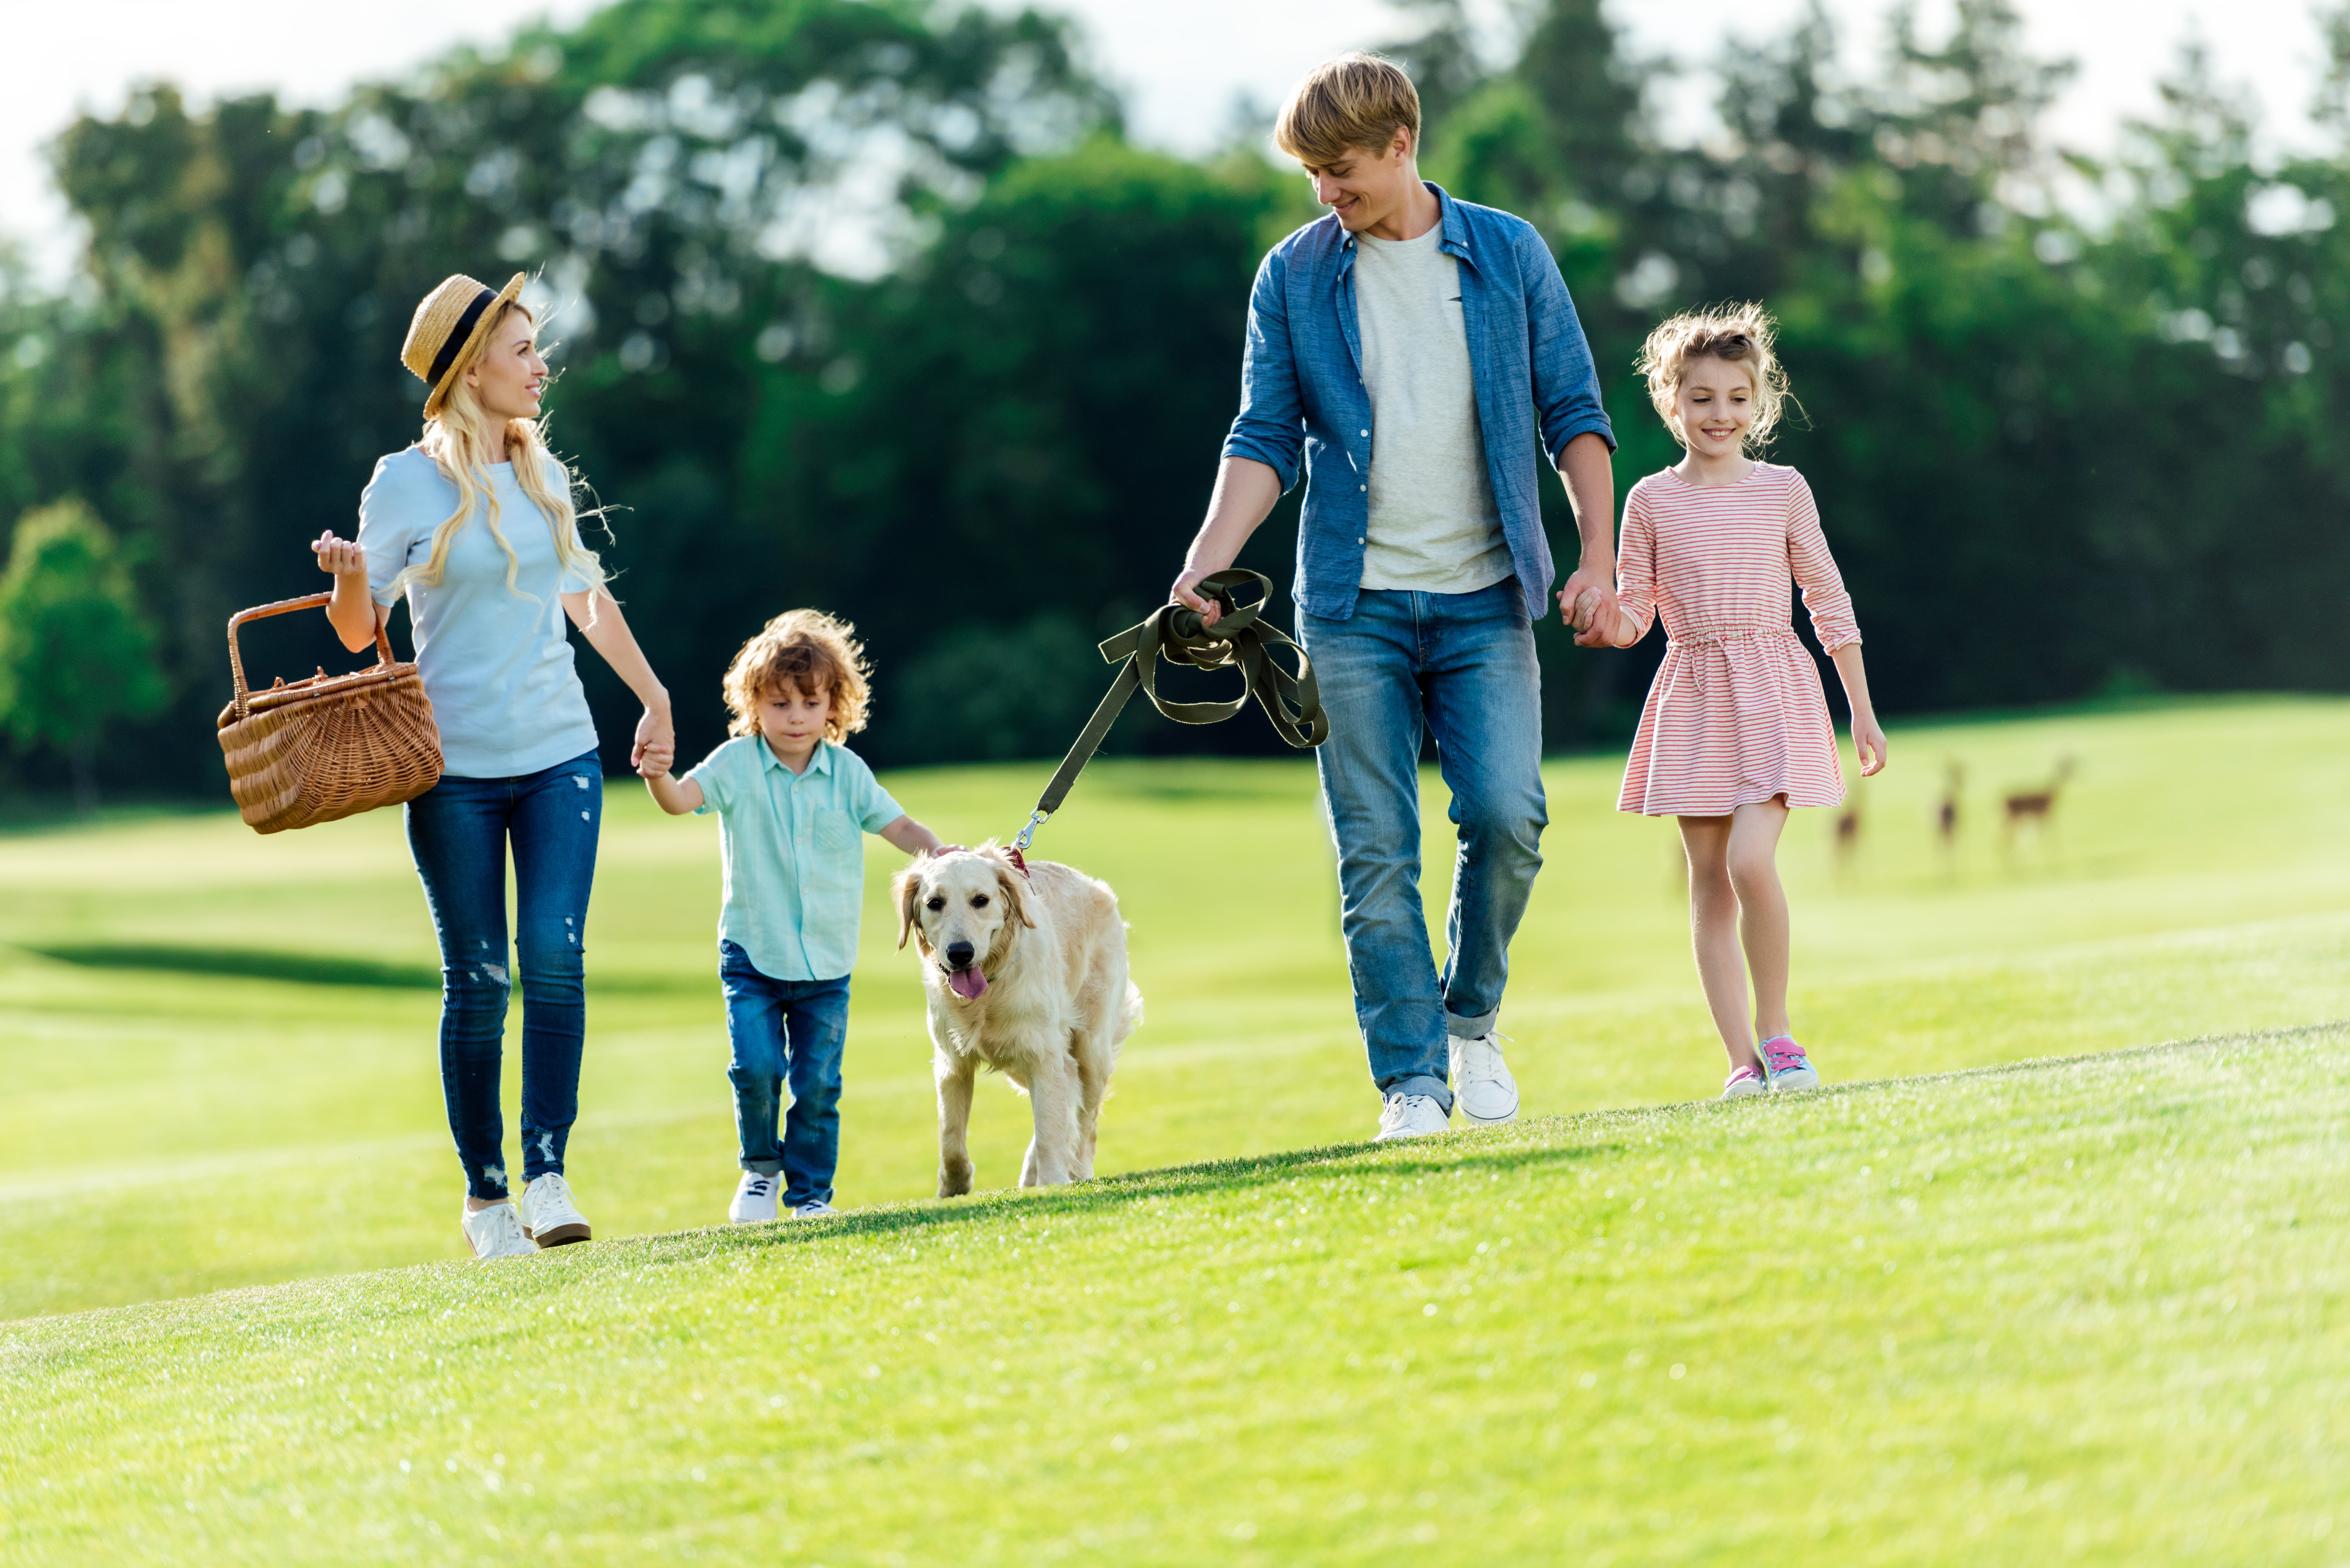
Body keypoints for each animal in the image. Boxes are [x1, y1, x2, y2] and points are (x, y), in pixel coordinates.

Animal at [893, 851, 1142, 1194]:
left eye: (981, 900)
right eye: (934, 903)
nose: (960, 953)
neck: (988, 991)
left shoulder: (1044, 1058)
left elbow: (1051, 1128)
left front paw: (1053, 1183)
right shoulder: (952, 1064)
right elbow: (951, 1138)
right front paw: (953, 1188)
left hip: (1091, 1051)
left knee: (1085, 1121)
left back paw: (1076, 1170)